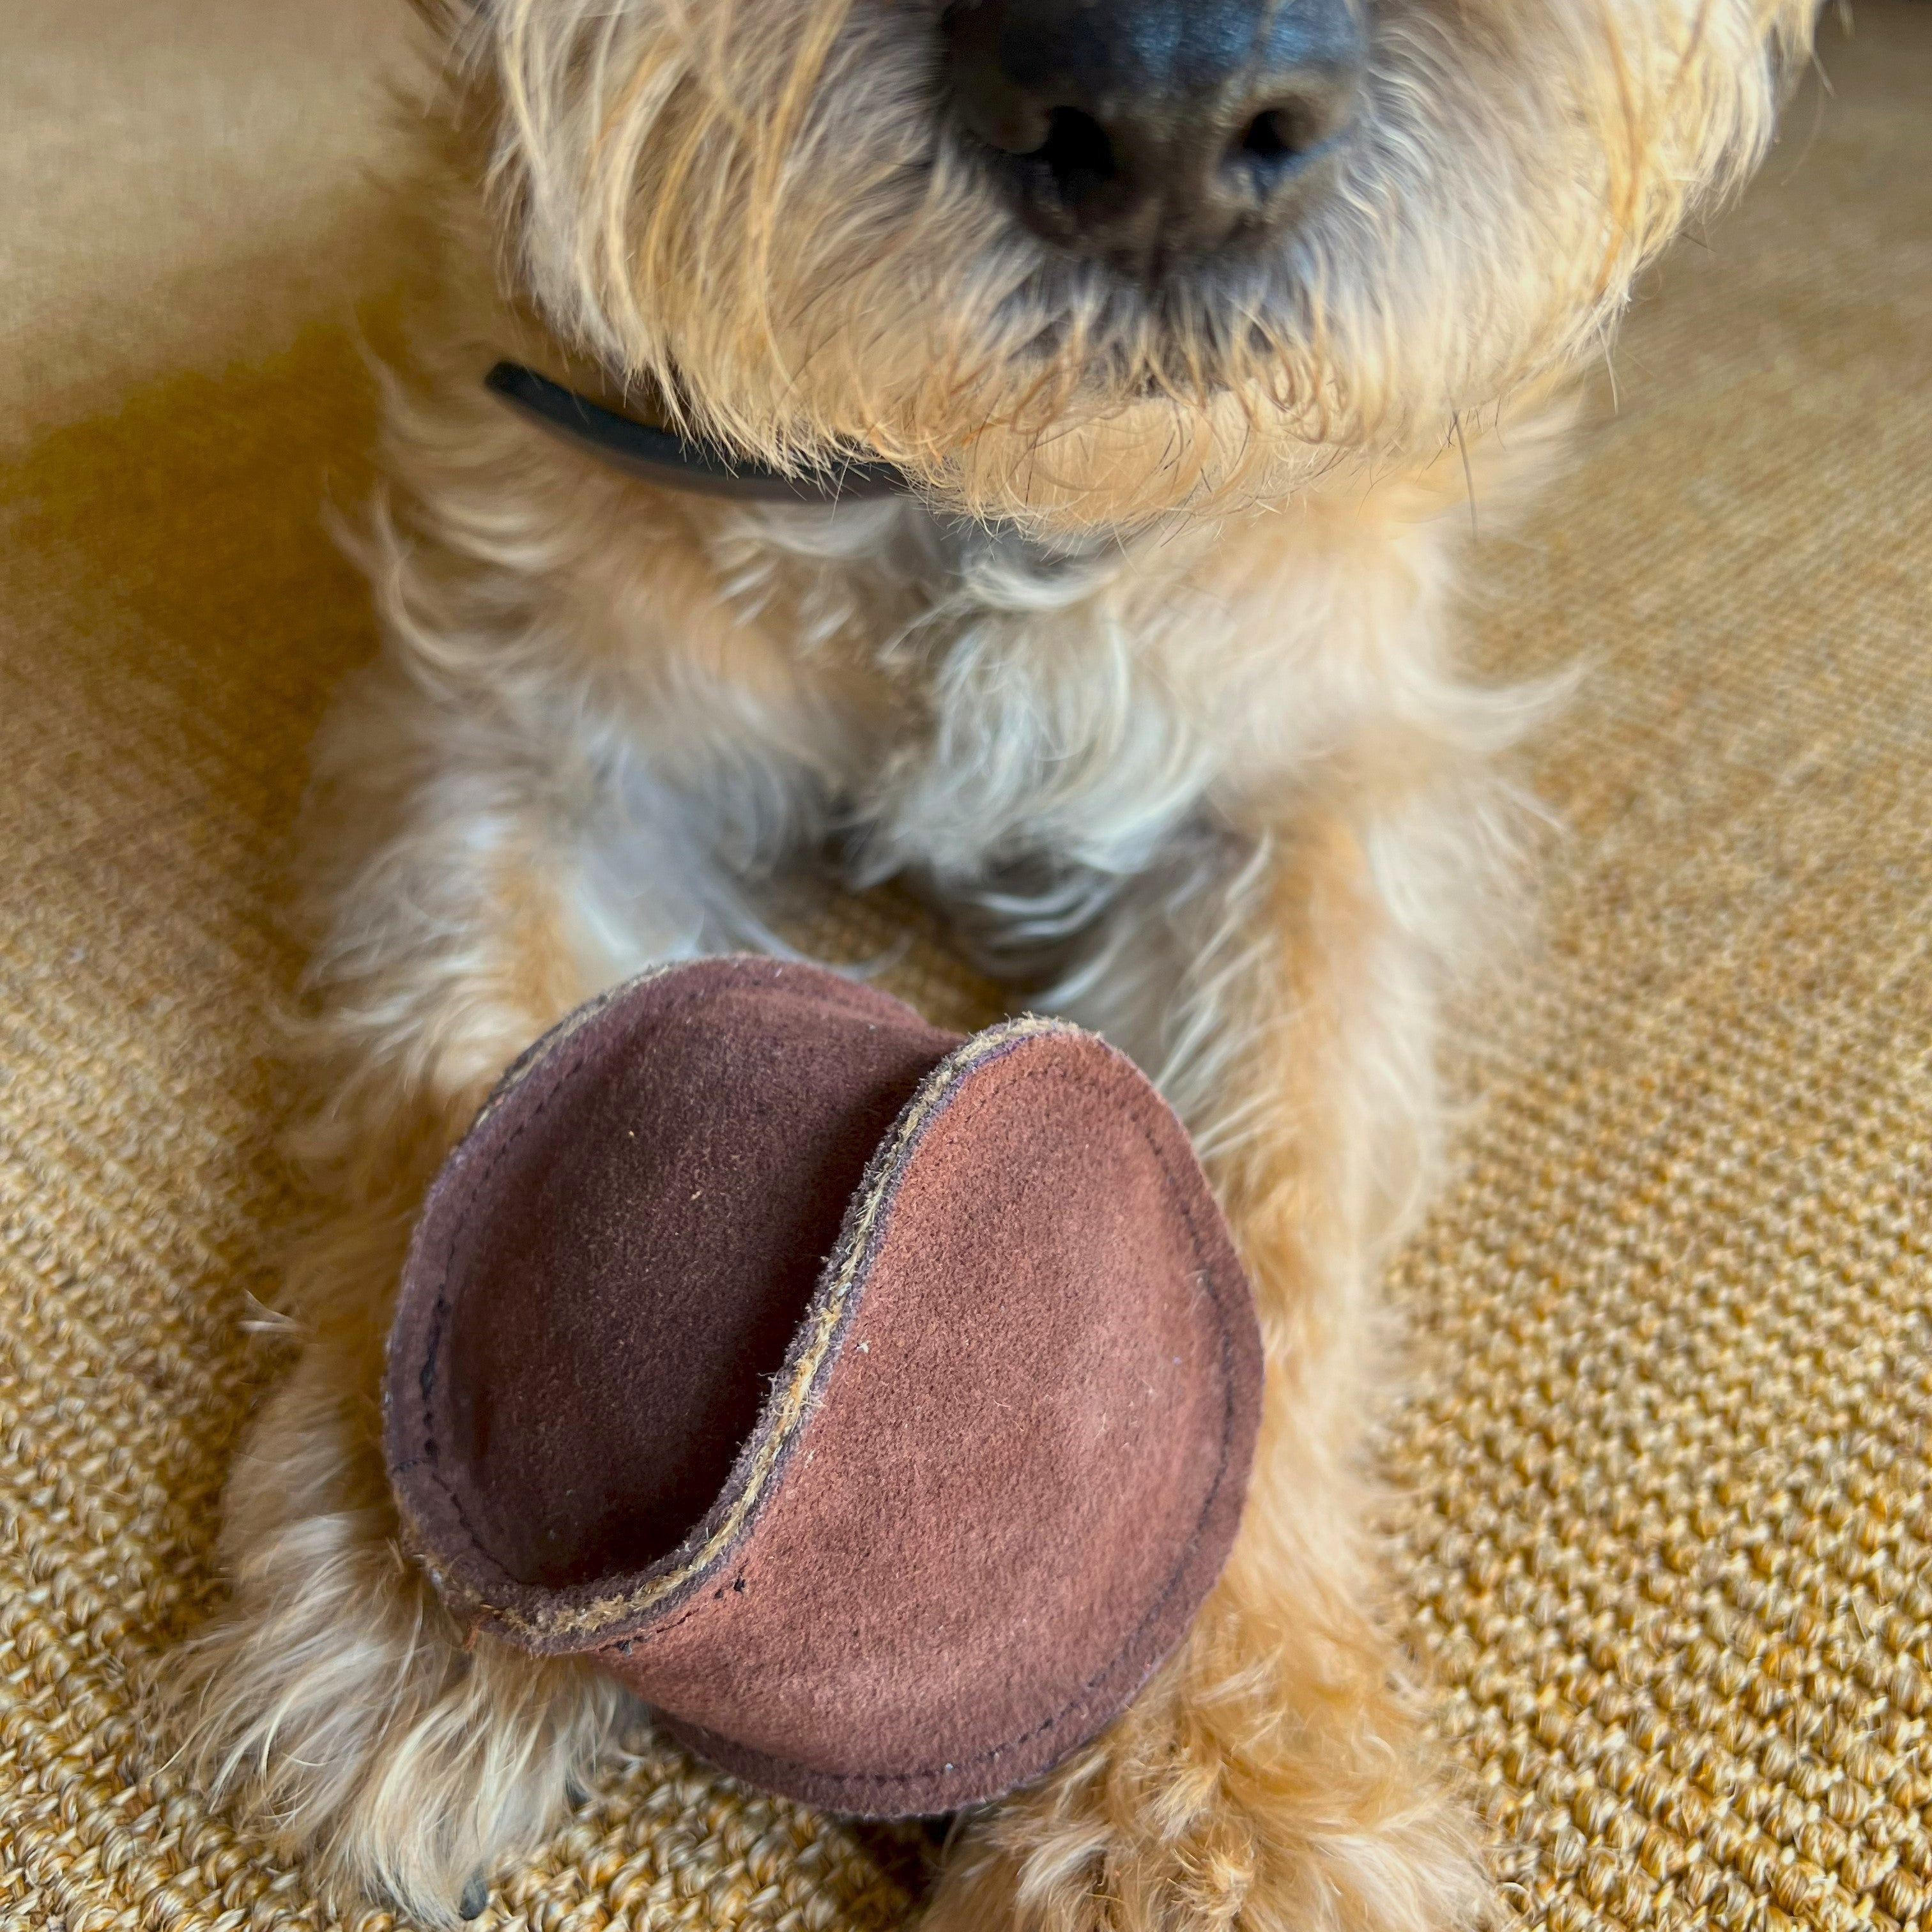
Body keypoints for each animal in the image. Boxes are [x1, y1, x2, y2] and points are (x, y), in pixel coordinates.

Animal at [158, 0, 1816, 1924]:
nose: (1166, 105)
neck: (965, 497)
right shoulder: (519, 730)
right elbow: (452, 1073)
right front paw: (414, 1600)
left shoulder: (1303, 796)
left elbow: (1257, 1244)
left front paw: (1211, 1793)